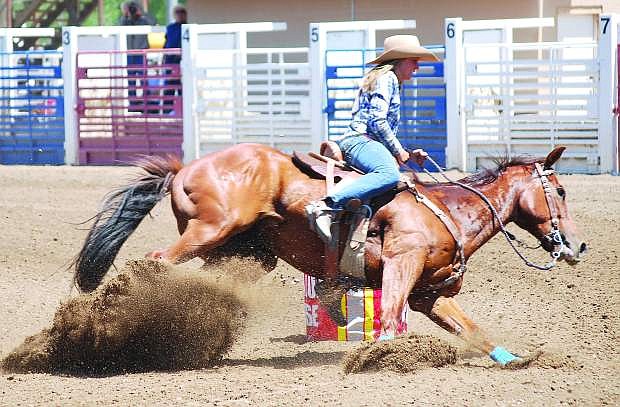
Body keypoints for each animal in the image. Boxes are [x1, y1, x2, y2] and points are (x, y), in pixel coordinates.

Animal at [72, 144, 588, 366]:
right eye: (560, 190)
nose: (577, 245)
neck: (448, 211)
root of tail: (185, 167)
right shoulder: (401, 264)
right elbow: (389, 317)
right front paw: (379, 359)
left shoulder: (431, 295)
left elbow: (474, 330)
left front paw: (515, 359)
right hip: (208, 231)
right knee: (155, 261)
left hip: (240, 253)